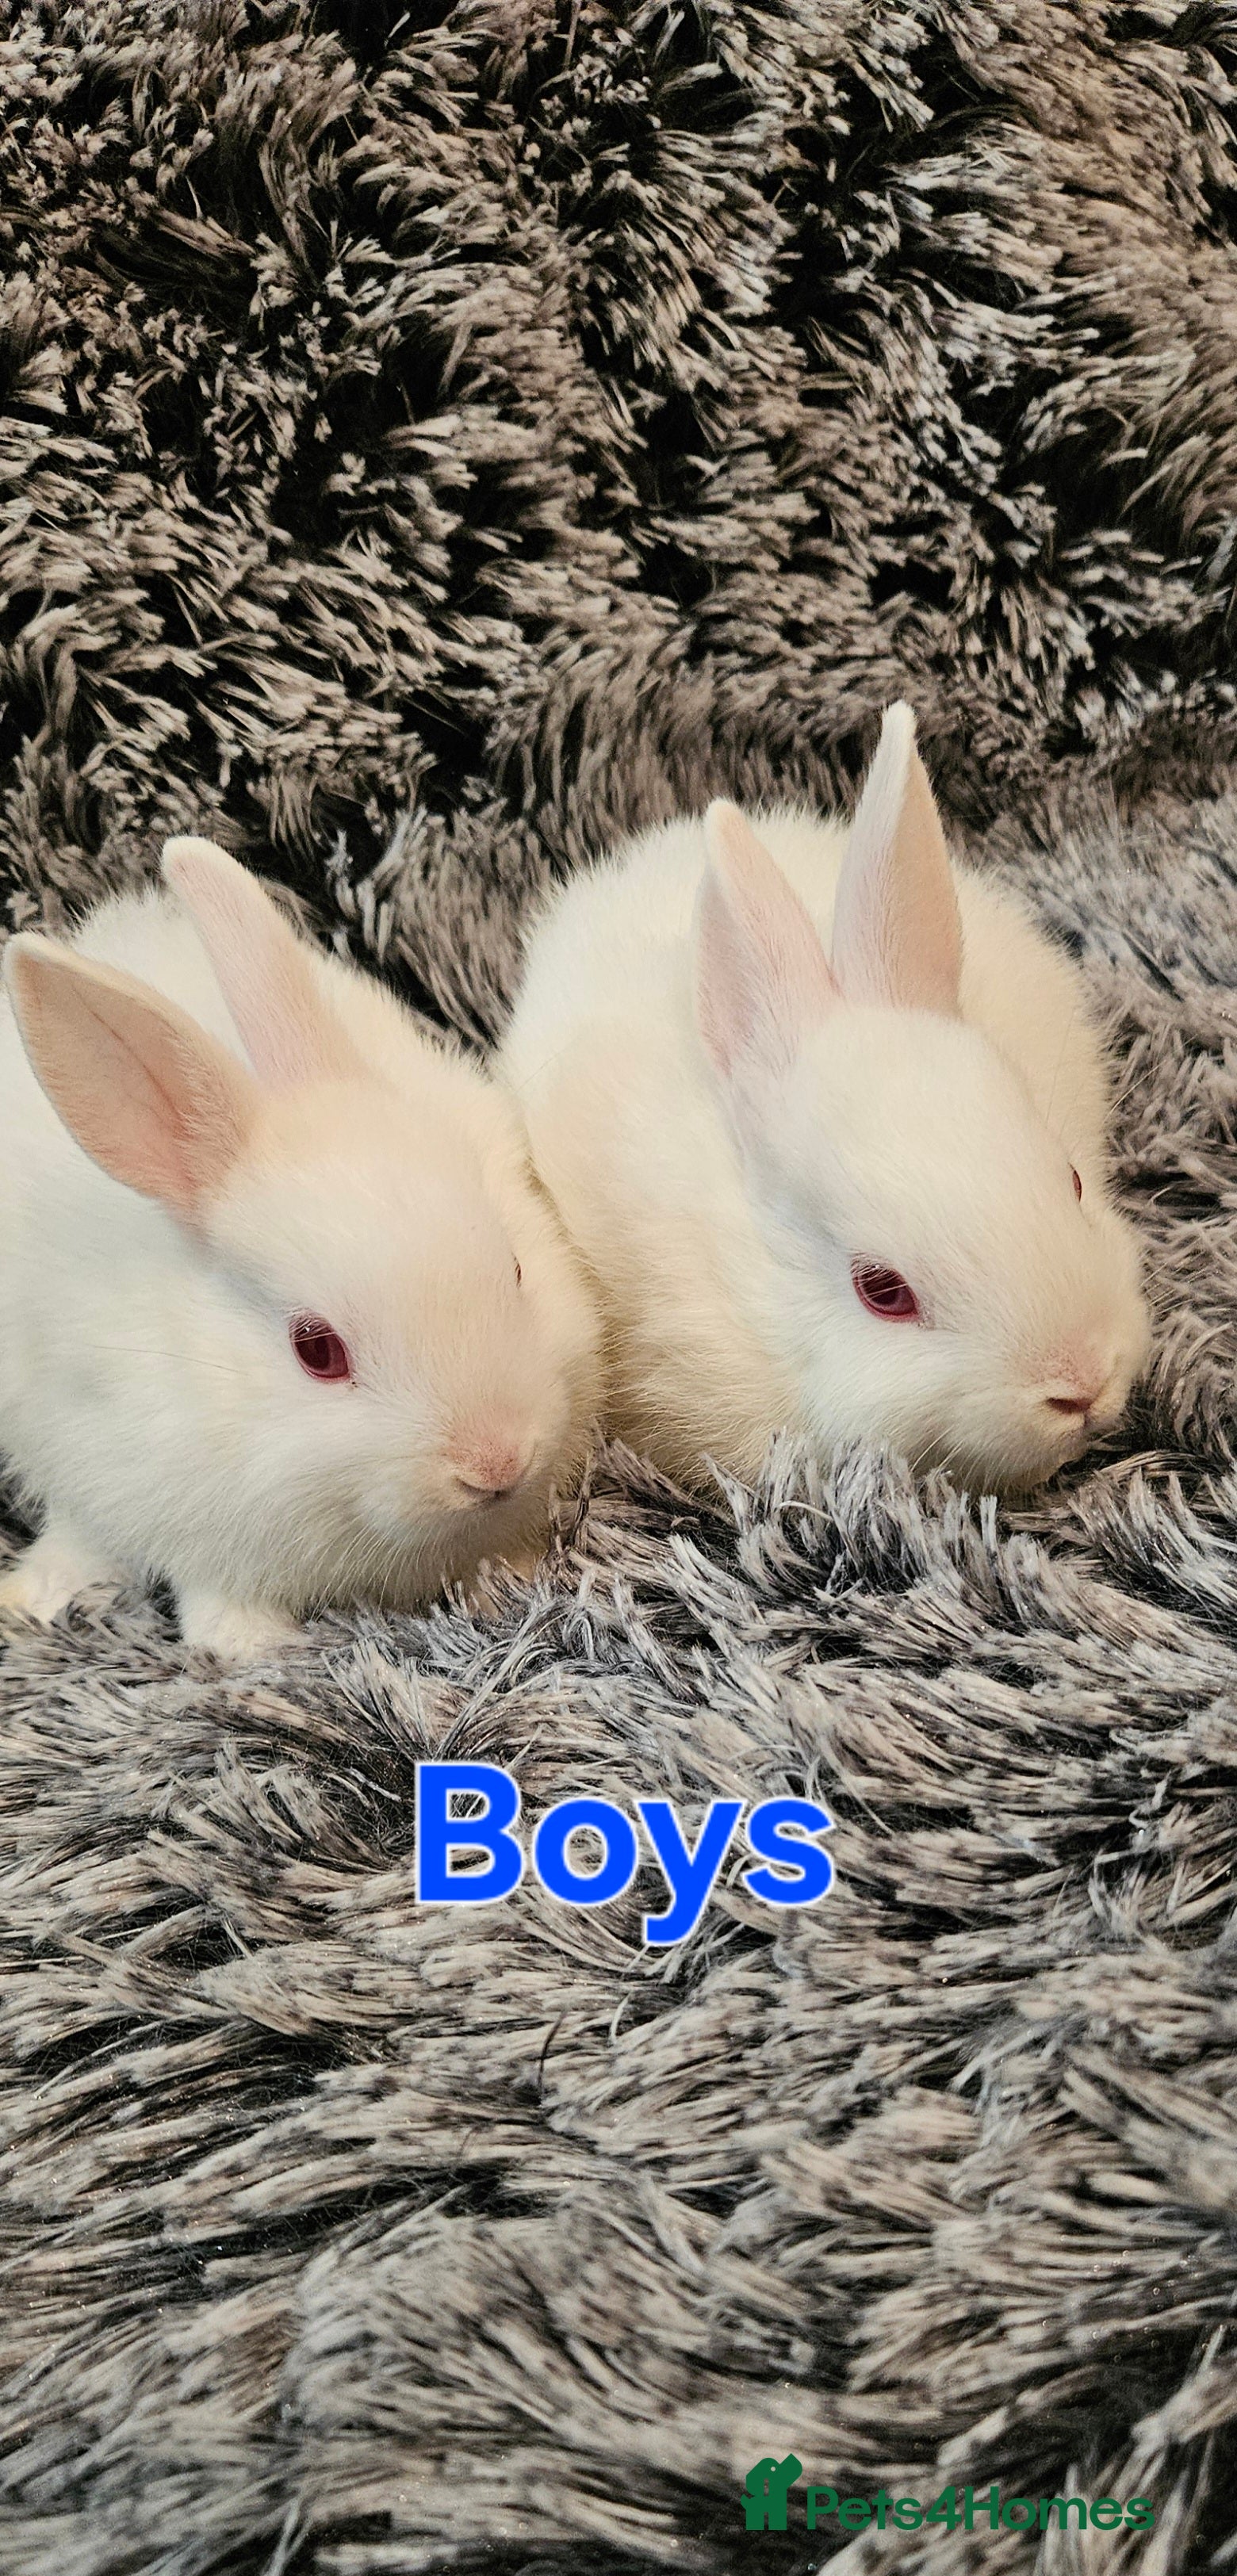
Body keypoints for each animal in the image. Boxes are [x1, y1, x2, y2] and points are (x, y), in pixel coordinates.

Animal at [0, 836, 601, 1664]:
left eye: (514, 1269)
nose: (496, 1463)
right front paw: (256, 1648)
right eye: (317, 1350)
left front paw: (505, 1586)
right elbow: (215, 1595)